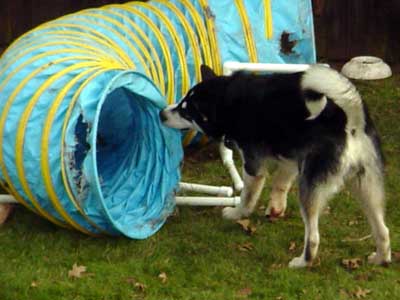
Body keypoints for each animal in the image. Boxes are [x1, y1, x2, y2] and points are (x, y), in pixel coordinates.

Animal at [159, 65, 390, 268]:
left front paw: (237, 213)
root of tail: (349, 120)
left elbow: (247, 197)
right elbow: (280, 183)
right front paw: (276, 208)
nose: (161, 114)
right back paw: (380, 258)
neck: (231, 102)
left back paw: (302, 262)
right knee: (383, 230)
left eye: (186, 112)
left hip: (311, 190)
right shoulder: (291, 159)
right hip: (366, 187)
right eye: (181, 102)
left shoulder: (254, 166)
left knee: (313, 238)